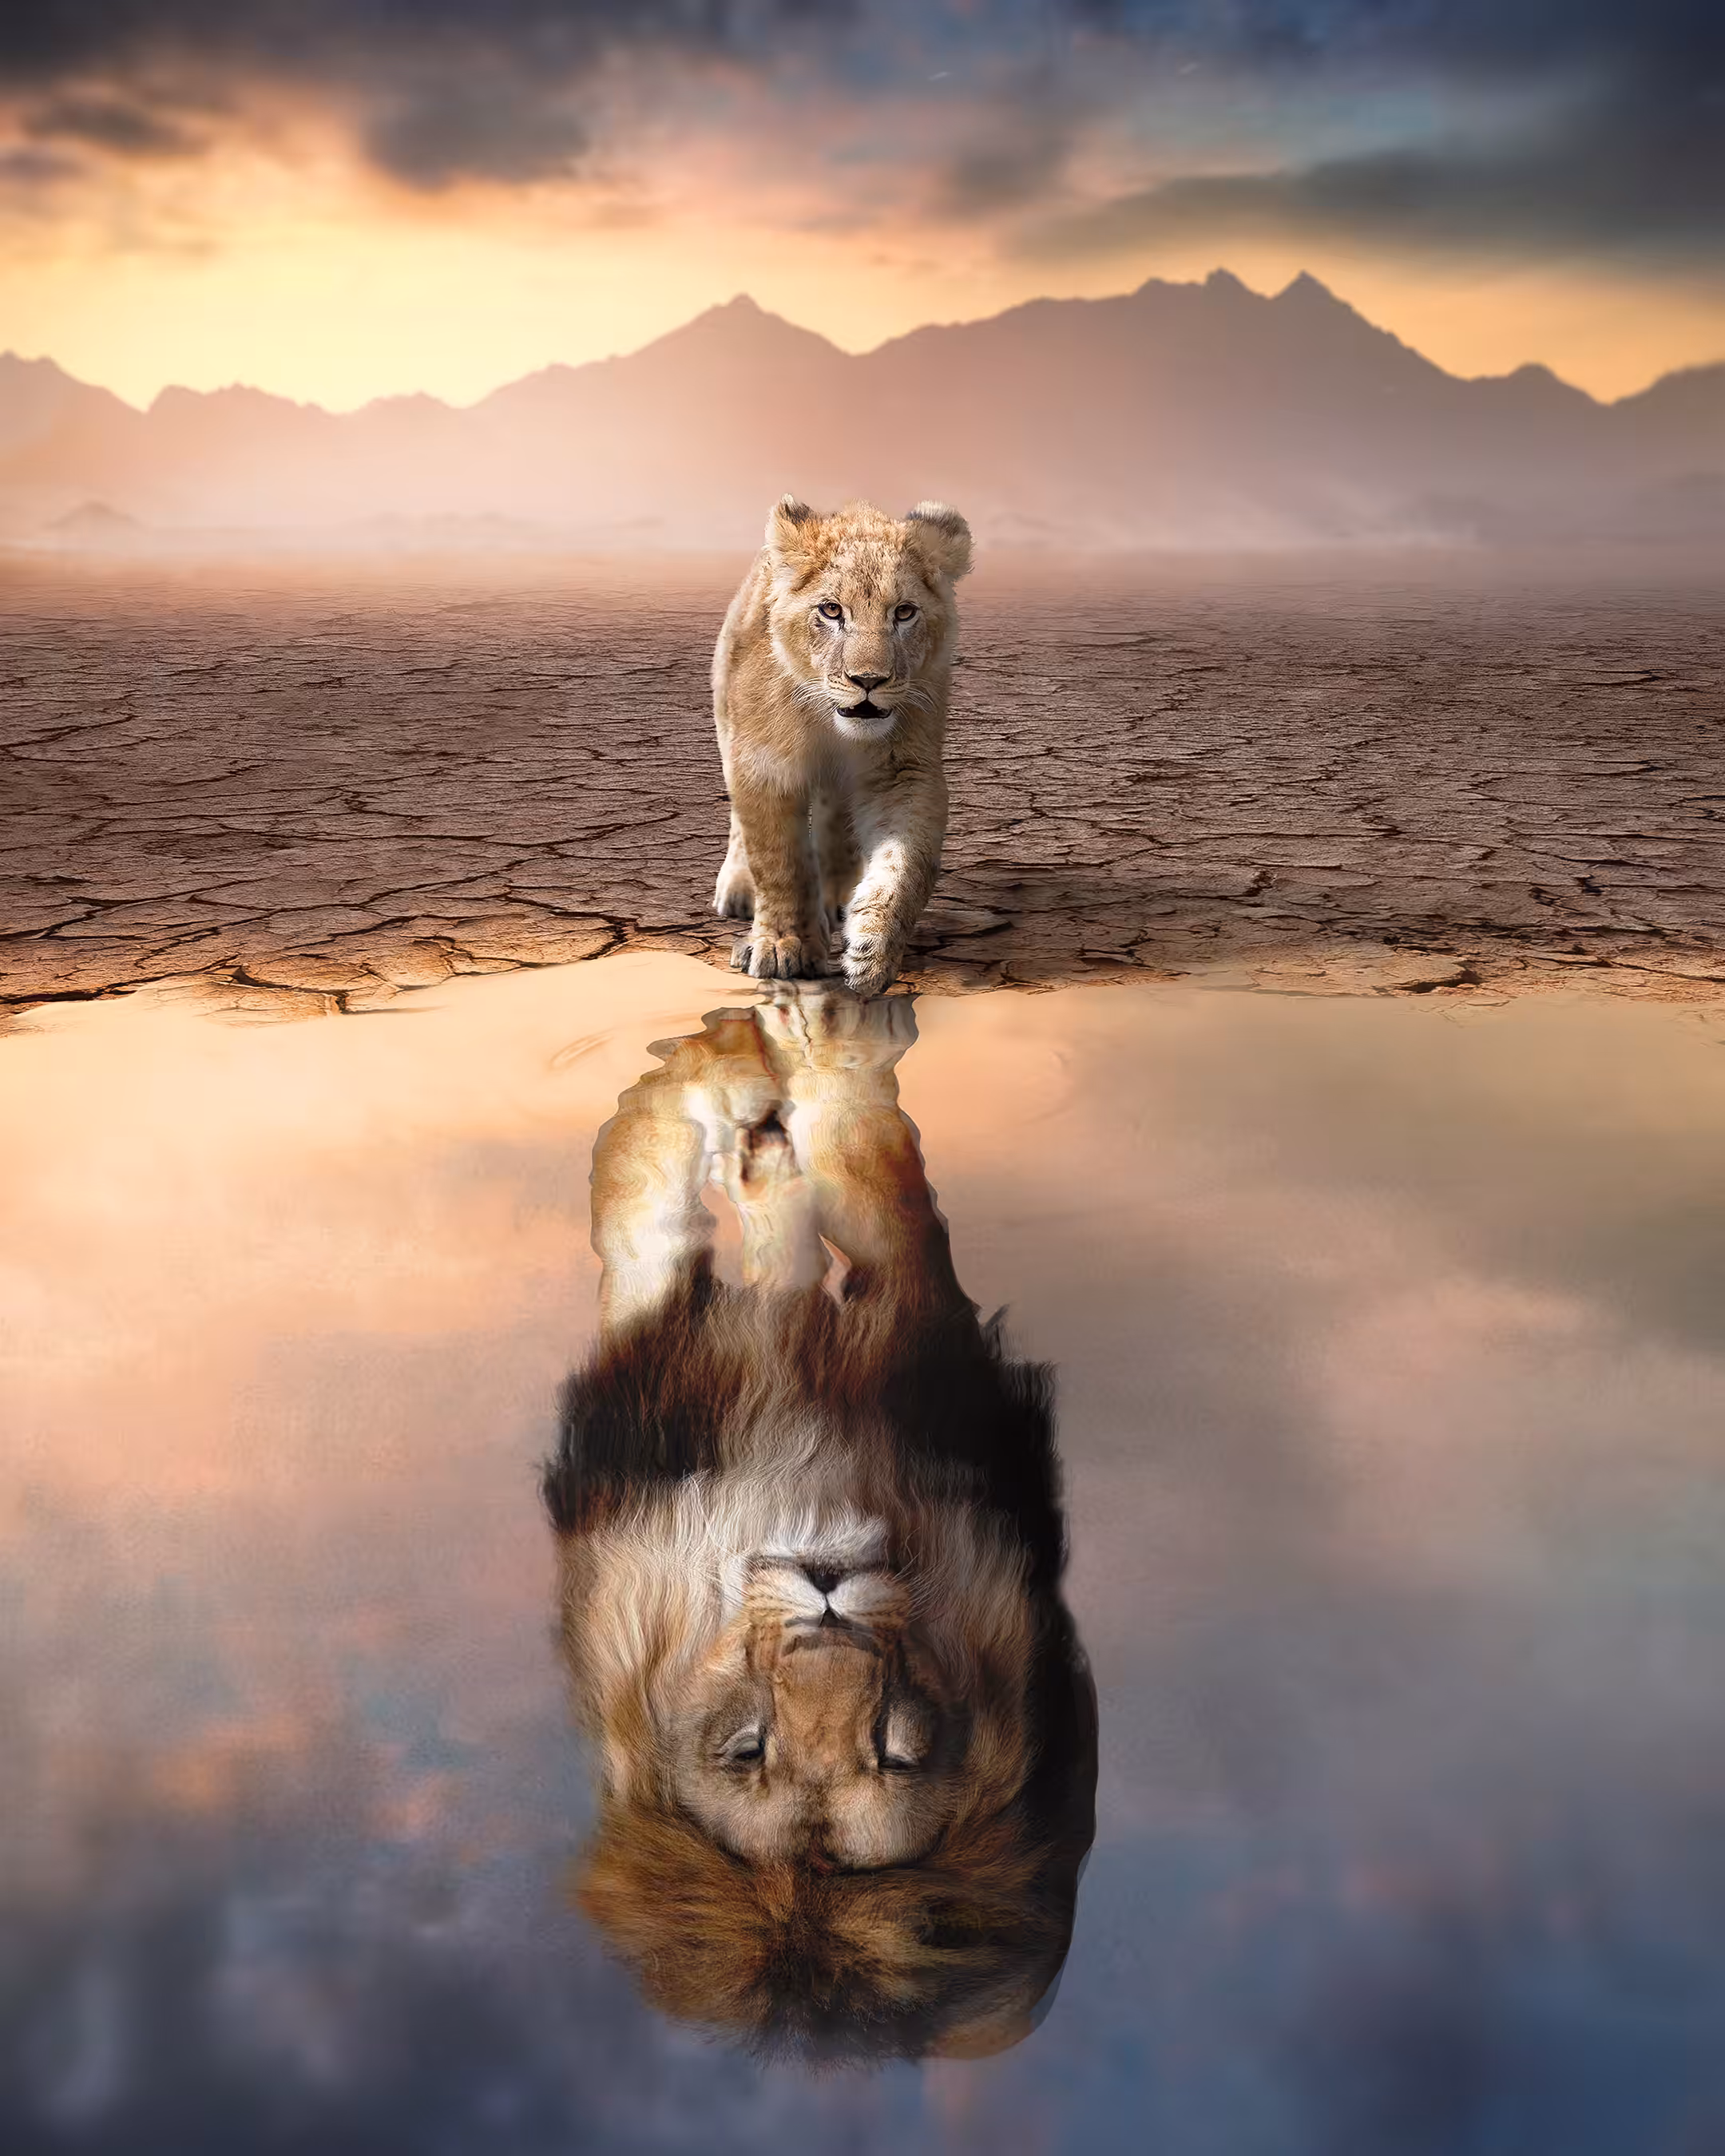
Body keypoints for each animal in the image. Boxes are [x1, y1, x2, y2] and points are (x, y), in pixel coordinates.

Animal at [542, 989, 1095, 2061]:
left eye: (898, 1750)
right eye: (748, 1749)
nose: (826, 1601)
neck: (805, 1479)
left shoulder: (928, 1341)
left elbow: (871, 1166)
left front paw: (825, 1054)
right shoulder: (652, 1391)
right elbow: (641, 1202)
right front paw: (707, 1079)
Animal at [711, 497, 973, 999]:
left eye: (904, 613)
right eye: (832, 610)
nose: (868, 681)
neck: (830, 723)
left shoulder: (902, 771)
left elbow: (905, 866)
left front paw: (872, 952)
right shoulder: (764, 764)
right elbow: (779, 861)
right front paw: (782, 946)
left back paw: (837, 896)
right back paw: (738, 889)